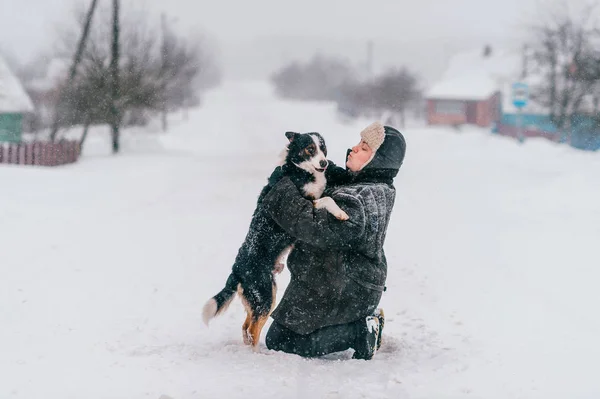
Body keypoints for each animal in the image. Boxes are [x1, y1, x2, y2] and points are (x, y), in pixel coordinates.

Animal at [204, 133, 350, 348]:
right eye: (310, 149)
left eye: (323, 148)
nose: (324, 162)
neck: (300, 170)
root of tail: (236, 270)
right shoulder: (307, 203)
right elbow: (327, 199)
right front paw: (341, 213)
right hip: (264, 295)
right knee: (252, 329)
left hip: (263, 295)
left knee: (246, 326)